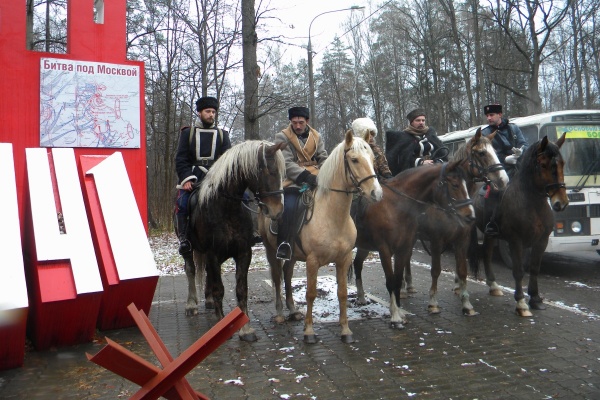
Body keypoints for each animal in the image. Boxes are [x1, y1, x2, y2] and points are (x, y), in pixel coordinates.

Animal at [183, 141, 286, 340]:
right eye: (269, 171)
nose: (277, 211)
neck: (227, 208)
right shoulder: (212, 254)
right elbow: (219, 289)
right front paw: (221, 323)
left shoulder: (243, 253)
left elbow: (241, 289)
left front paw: (245, 329)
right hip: (189, 249)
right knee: (191, 269)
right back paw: (191, 304)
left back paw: (208, 301)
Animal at [256, 131, 380, 344]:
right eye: (354, 160)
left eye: (373, 159)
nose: (376, 193)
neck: (333, 217)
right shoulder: (312, 261)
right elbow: (311, 294)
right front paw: (309, 332)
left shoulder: (343, 259)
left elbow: (342, 293)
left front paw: (345, 330)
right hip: (271, 249)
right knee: (277, 277)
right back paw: (280, 313)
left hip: (292, 254)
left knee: (287, 275)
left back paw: (293, 310)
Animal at [352, 161, 474, 330]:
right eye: (455, 185)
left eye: (466, 184)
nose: (471, 216)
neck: (396, 207)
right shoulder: (385, 250)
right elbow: (390, 281)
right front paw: (395, 317)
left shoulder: (403, 249)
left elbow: (397, 280)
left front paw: (399, 312)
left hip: (364, 246)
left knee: (357, 264)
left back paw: (361, 297)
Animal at [400, 130, 508, 314]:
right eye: (482, 153)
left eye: (495, 151)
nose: (504, 180)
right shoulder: (436, 239)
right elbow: (436, 270)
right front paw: (433, 302)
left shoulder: (462, 238)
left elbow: (462, 269)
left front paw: (466, 302)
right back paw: (402, 288)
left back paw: (409, 285)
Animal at [468, 134, 568, 316]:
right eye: (543, 165)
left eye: (562, 163)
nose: (561, 203)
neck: (532, 203)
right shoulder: (516, 241)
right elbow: (519, 271)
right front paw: (521, 303)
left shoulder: (541, 241)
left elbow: (534, 268)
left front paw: (535, 299)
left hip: (489, 234)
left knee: (486, 253)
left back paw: (493, 285)